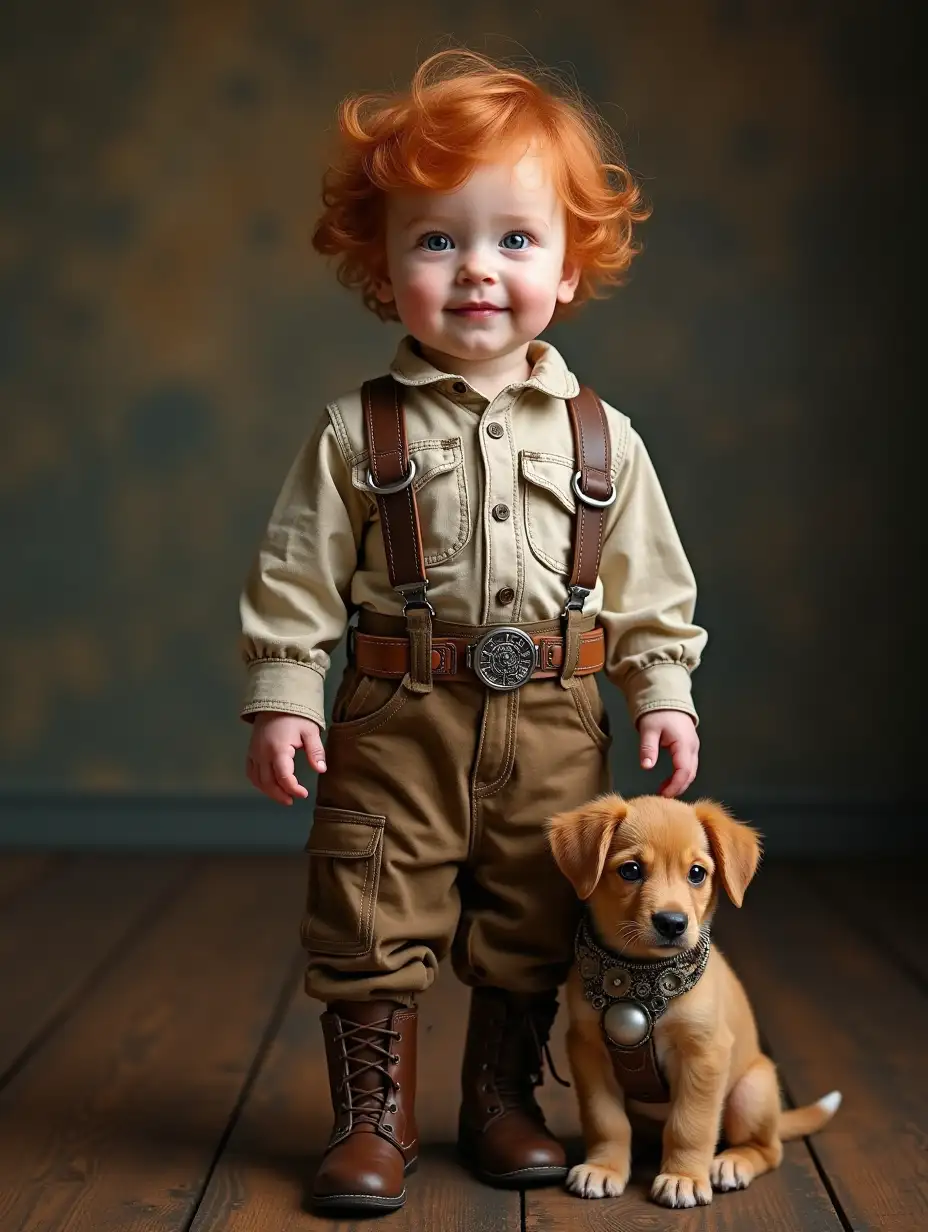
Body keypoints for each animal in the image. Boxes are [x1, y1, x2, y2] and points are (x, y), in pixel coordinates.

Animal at [547, 793, 842, 1207]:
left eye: (698, 873)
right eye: (631, 870)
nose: (672, 923)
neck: (640, 977)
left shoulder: (704, 1054)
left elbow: (690, 1125)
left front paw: (683, 1177)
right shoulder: (588, 1050)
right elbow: (606, 1121)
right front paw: (604, 1168)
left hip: (750, 1092)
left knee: (768, 1149)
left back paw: (731, 1163)